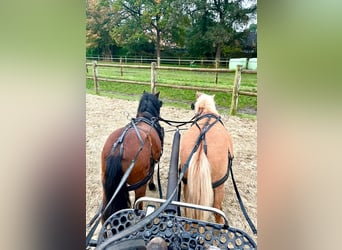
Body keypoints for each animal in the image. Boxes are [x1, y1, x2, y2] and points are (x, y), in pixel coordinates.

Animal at [101, 91, 164, 223]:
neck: (146, 117)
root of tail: (119, 148)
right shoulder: (155, 160)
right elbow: (153, 171)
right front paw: (152, 185)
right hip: (140, 186)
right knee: (139, 208)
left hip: (107, 187)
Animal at [179, 92, 232, 225]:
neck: (207, 112)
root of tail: (201, 146)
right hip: (219, 187)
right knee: (217, 209)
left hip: (188, 185)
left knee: (189, 209)